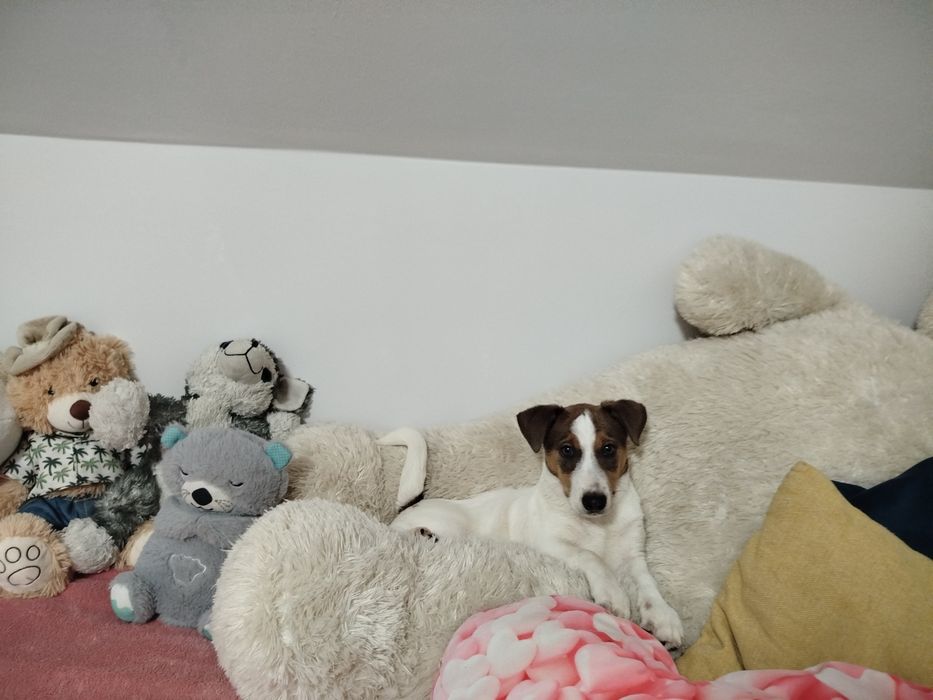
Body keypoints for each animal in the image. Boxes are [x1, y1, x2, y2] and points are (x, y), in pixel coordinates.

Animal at [381, 399, 684, 648]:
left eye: (608, 449)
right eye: (567, 450)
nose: (594, 501)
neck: (598, 525)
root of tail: (414, 504)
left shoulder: (634, 553)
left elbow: (647, 582)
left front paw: (663, 616)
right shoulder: (549, 543)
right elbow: (589, 556)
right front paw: (613, 593)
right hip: (452, 529)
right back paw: (422, 534)